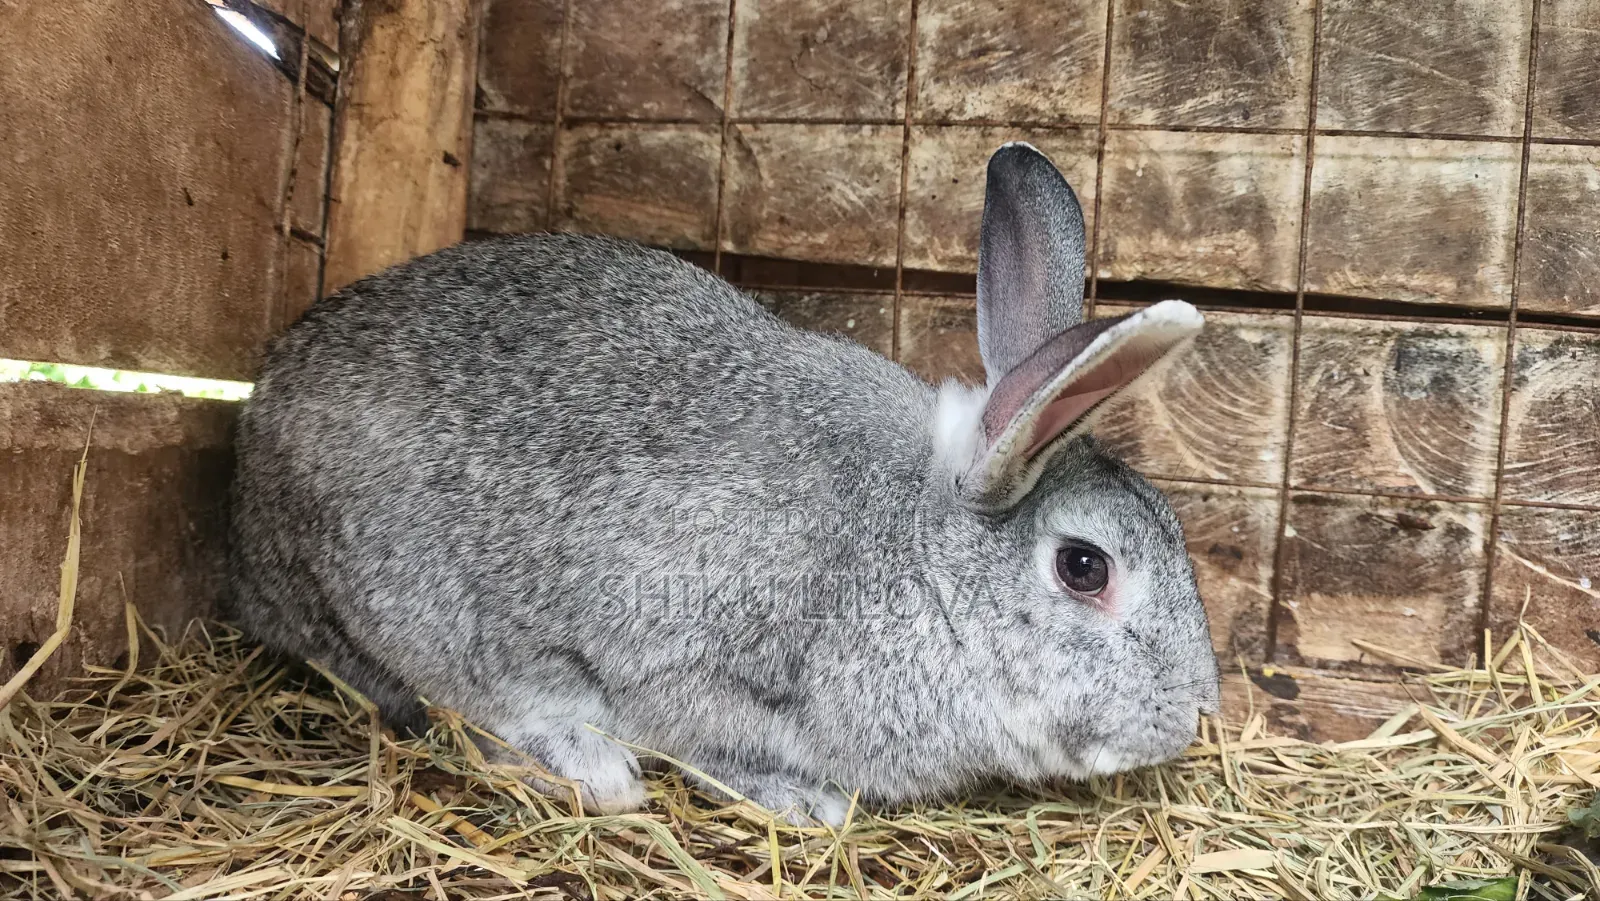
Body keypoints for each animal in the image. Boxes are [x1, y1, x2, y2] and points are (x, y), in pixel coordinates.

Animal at [226, 142, 1220, 826]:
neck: (913, 545)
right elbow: (695, 734)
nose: (1196, 711)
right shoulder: (678, 650)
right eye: (1084, 567)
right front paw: (804, 801)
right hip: (410, 603)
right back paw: (592, 767)